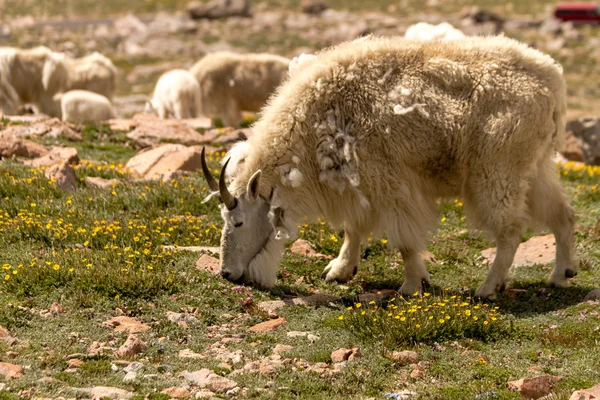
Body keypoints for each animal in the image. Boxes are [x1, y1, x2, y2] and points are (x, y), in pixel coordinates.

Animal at [202, 35, 576, 300]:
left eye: (238, 221)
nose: (226, 273)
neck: (315, 121)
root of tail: (555, 81)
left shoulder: (389, 182)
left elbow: (404, 239)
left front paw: (412, 285)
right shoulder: (358, 184)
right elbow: (353, 229)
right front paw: (340, 270)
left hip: (497, 169)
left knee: (511, 228)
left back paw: (489, 287)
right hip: (535, 166)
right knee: (563, 213)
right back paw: (562, 274)